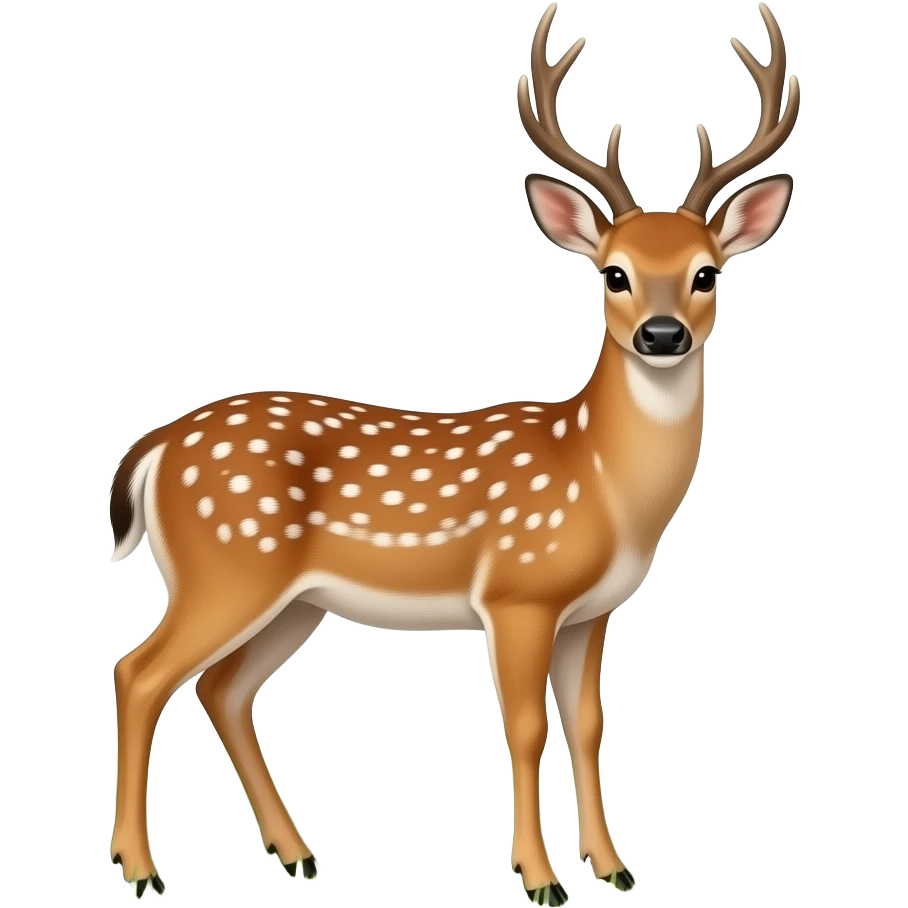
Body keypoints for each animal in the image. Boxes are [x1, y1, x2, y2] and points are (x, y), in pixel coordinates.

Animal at [106, 2, 798, 903]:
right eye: (613, 274)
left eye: (707, 274)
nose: (661, 334)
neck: (602, 482)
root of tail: (153, 444)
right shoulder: (517, 592)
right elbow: (525, 726)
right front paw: (540, 878)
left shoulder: (593, 610)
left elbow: (588, 724)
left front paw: (614, 869)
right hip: (224, 565)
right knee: (140, 673)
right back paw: (140, 869)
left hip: (292, 600)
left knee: (222, 689)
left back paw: (297, 855)